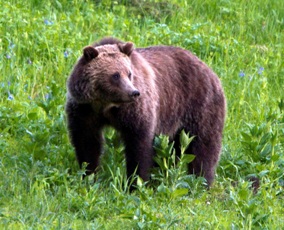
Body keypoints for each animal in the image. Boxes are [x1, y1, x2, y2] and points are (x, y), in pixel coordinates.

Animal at [66, 37, 226, 187]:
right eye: (115, 75)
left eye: (129, 73)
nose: (134, 92)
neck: (106, 105)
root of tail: (209, 69)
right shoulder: (84, 110)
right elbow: (87, 143)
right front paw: (88, 175)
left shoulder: (134, 111)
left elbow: (139, 145)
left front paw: (136, 182)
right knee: (174, 149)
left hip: (199, 105)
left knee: (204, 146)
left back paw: (201, 181)